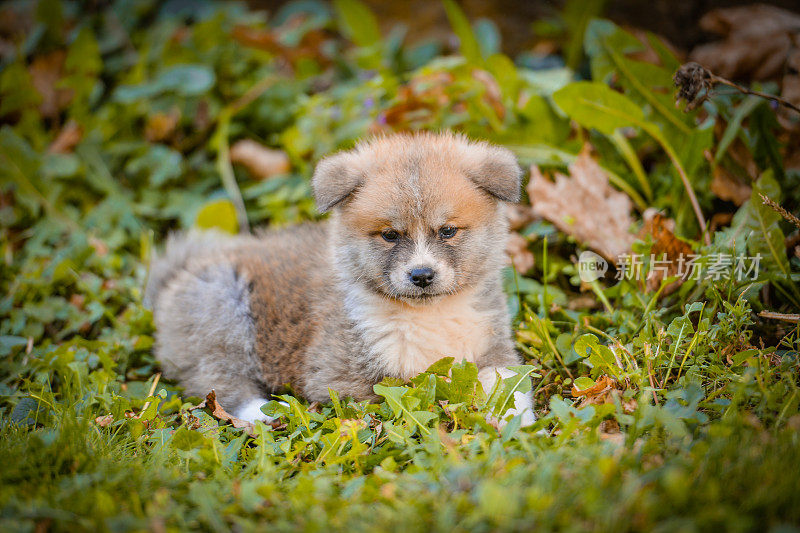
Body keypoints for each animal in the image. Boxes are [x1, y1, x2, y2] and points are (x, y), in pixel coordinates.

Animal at [147, 132, 536, 424]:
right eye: (390, 235)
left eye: (448, 231)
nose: (422, 275)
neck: (429, 315)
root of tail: (177, 272)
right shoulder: (342, 380)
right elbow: (415, 392)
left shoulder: (494, 347)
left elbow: (507, 385)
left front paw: (514, 421)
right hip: (220, 308)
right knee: (219, 380)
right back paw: (270, 411)